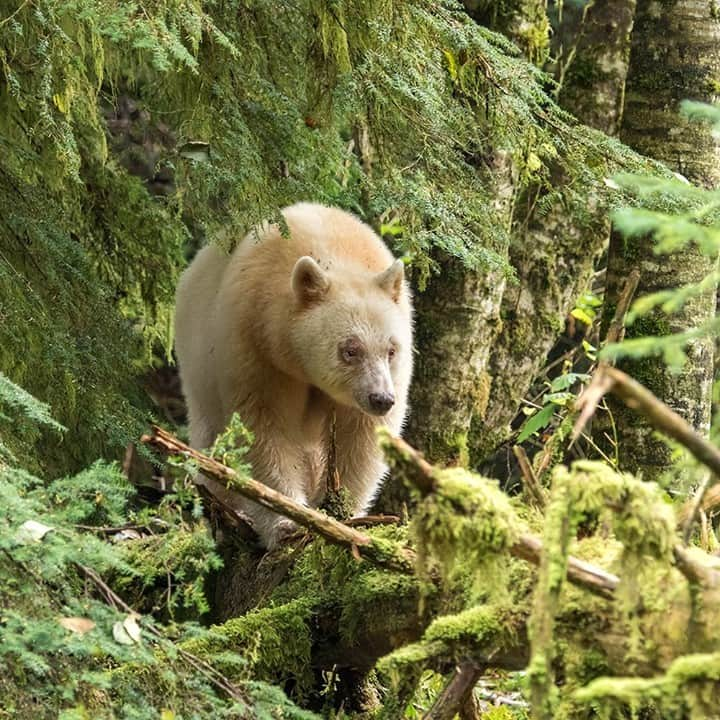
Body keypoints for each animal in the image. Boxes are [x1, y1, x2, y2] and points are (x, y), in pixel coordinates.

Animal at [172, 202, 414, 544]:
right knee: (211, 435)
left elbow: (361, 437)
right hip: (198, 368)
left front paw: (341, 512)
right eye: (350, 349)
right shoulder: (255, 348)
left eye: (391, 350)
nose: (381, 398)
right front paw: (286, 521)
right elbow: (263, 429)